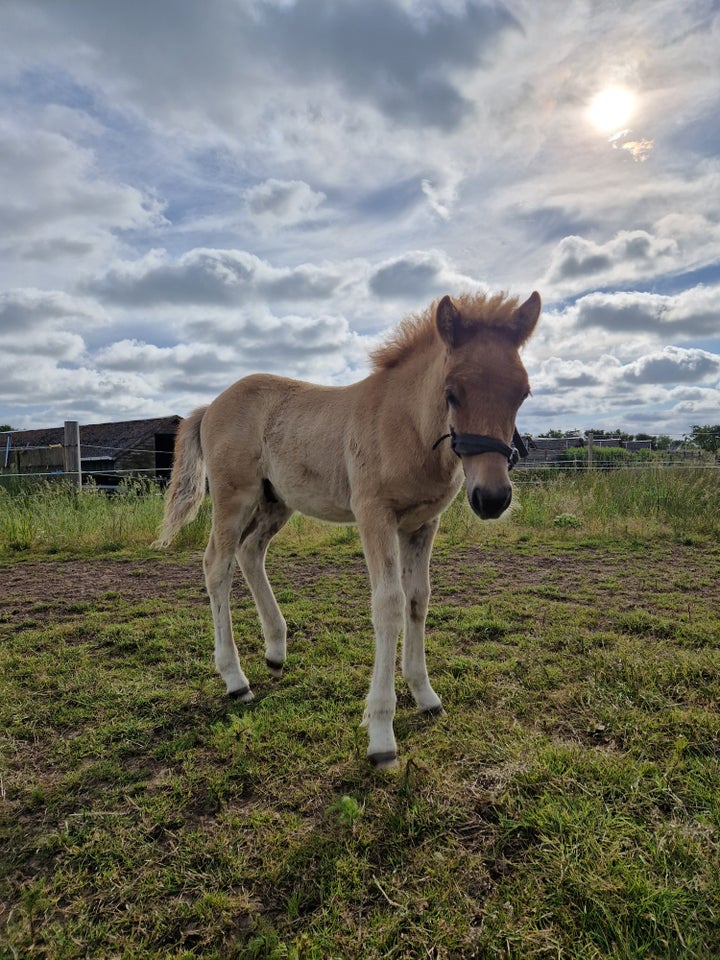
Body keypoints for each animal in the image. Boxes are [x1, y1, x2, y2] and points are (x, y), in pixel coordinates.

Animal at [158, 290, 540, 764]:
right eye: (452, 393)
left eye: (521, 394)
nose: (492, 498)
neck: (408, 425)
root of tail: (210, 406)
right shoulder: (374, 515)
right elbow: (389, 604)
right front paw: (381, 734)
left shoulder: (422, 523)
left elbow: (418, 599)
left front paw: (426, 695)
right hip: (234, 498)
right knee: (217, 565)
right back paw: (235, 679)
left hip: (276, 501)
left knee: (250, 553)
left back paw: (276, 651)